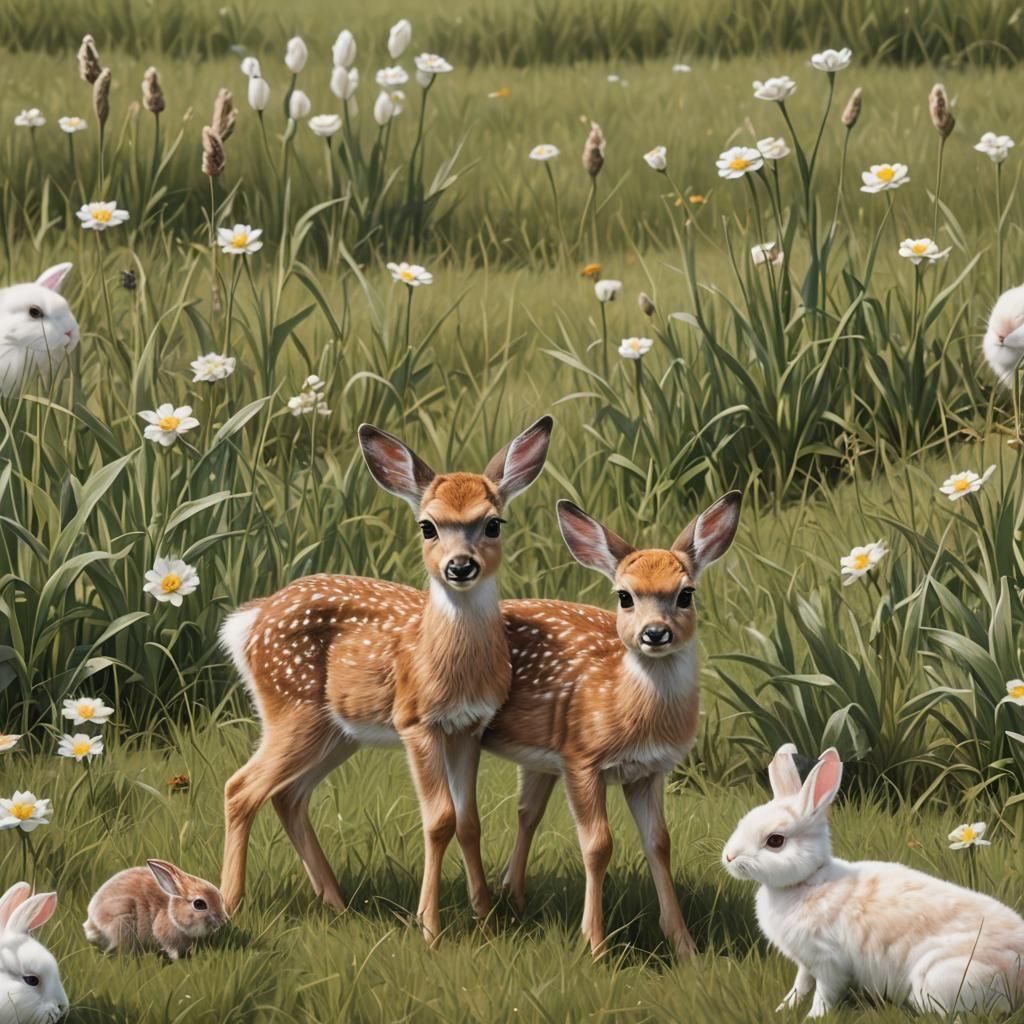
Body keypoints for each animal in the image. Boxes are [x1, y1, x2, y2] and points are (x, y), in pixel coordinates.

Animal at [83, 860, 228, 961]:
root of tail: (92, 921)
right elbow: (170, 947)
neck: (171, 913)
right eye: (199, 904)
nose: (224, 919)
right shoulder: (165, 933)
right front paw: (177, 959)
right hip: (123, 922)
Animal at [219, 416, 553, 943]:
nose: (461, 566)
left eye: (493, 523)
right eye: (427, 526)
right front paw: (430, 927)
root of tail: (247, 622)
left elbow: (470, 820)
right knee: (240, 788)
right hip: (291, 708)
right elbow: (439, 819)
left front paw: (483, 915)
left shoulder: (468, 727)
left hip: (335, 731)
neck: (452, 666)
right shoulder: (415, 721)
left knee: (288, 795)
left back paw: (336, 903)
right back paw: (229, 904)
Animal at [483, 491, 741, 959]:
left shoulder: (648, 772)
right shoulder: (581, 759)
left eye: (686, 594)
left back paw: (513, 897)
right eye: (625, 596)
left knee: (527, 812)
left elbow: (660, 844)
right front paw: (596, 945)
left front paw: (686, 948)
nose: (655, 633)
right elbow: (598, 845)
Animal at [722, 745, 1024, 1017]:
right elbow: (800, 985)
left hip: (941, 979)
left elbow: (824, 993)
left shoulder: (829, 961)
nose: (728, 857)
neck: (809, 880)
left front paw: (813, 1017)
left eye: (775, 841)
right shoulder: (806, 962)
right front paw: (783, 1008)